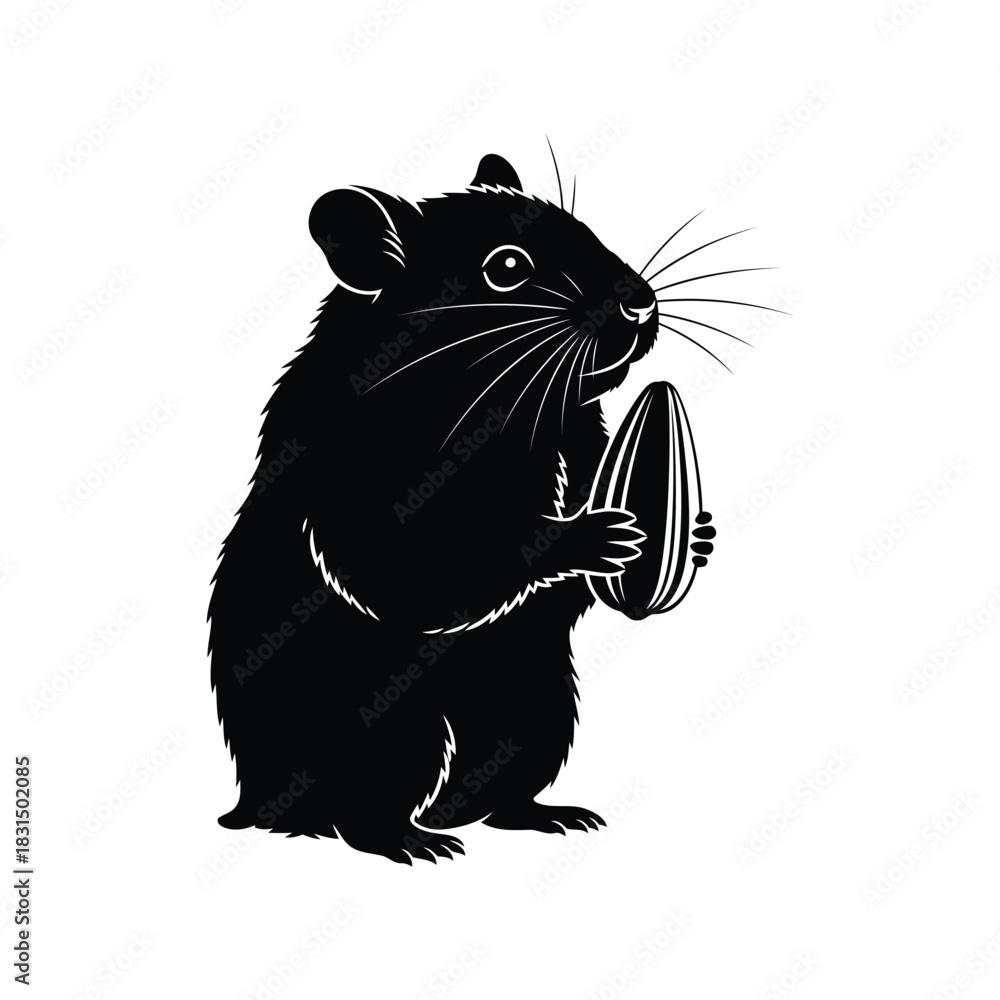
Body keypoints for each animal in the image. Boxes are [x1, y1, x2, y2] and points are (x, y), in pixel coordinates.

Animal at [208, 152, 700, 863]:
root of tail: (252, 797)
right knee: (357, 814)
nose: (640, 304)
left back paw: (553, 817)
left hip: (535, 709)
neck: (520, 409)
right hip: (391, 729)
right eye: (507, 266)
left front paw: (694, 536)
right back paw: (414, 844)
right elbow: (434, 571)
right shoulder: (369, 497)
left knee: (492, 797)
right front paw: (594, 536)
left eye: (585, 229)